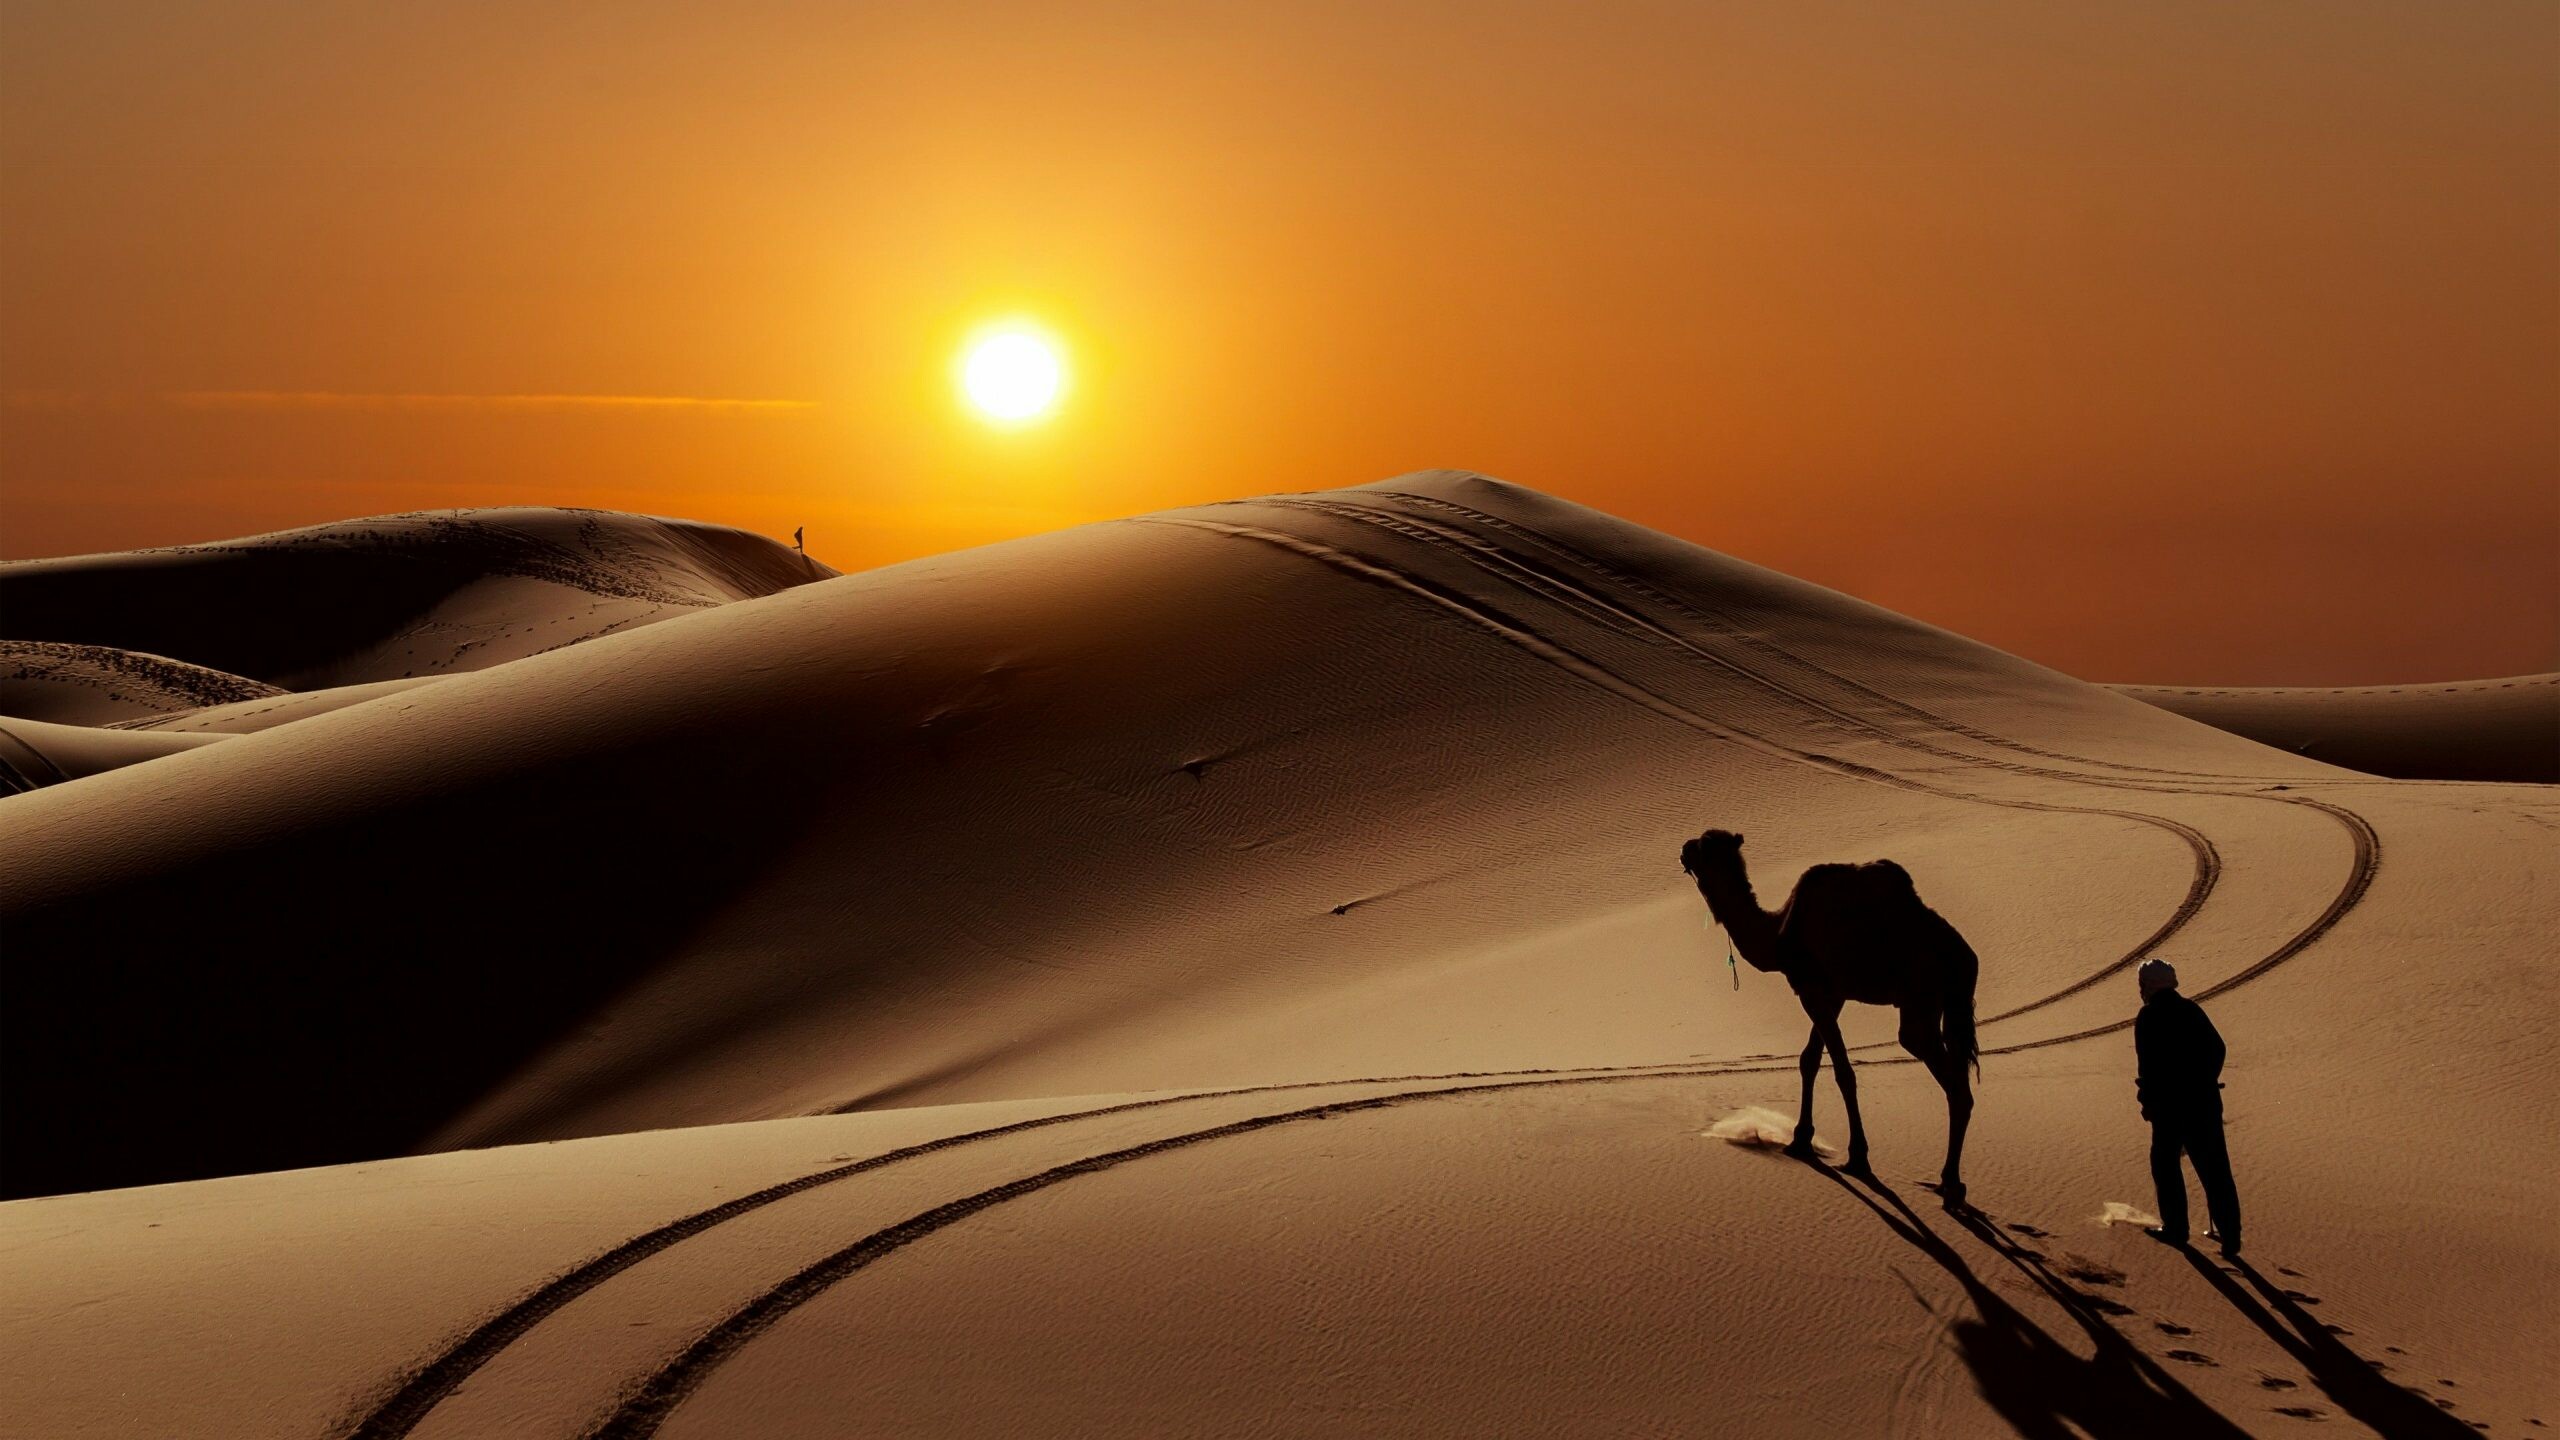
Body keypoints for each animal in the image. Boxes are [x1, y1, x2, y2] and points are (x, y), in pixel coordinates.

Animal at [1680, 828, 1979, 1201]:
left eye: (1704, 845)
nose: (1684, 849)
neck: (1780, 933)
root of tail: (1965, 958)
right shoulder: (1832, 993)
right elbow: (1809, 1059)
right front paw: (1800, 1139)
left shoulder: (1812, 987)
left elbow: (1842, 1071)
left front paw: (1857, 1157)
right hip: (1952, 1005)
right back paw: (1953, 1182)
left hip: (1920, 998)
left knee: (1947, 1077)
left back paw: (1949, 1181)